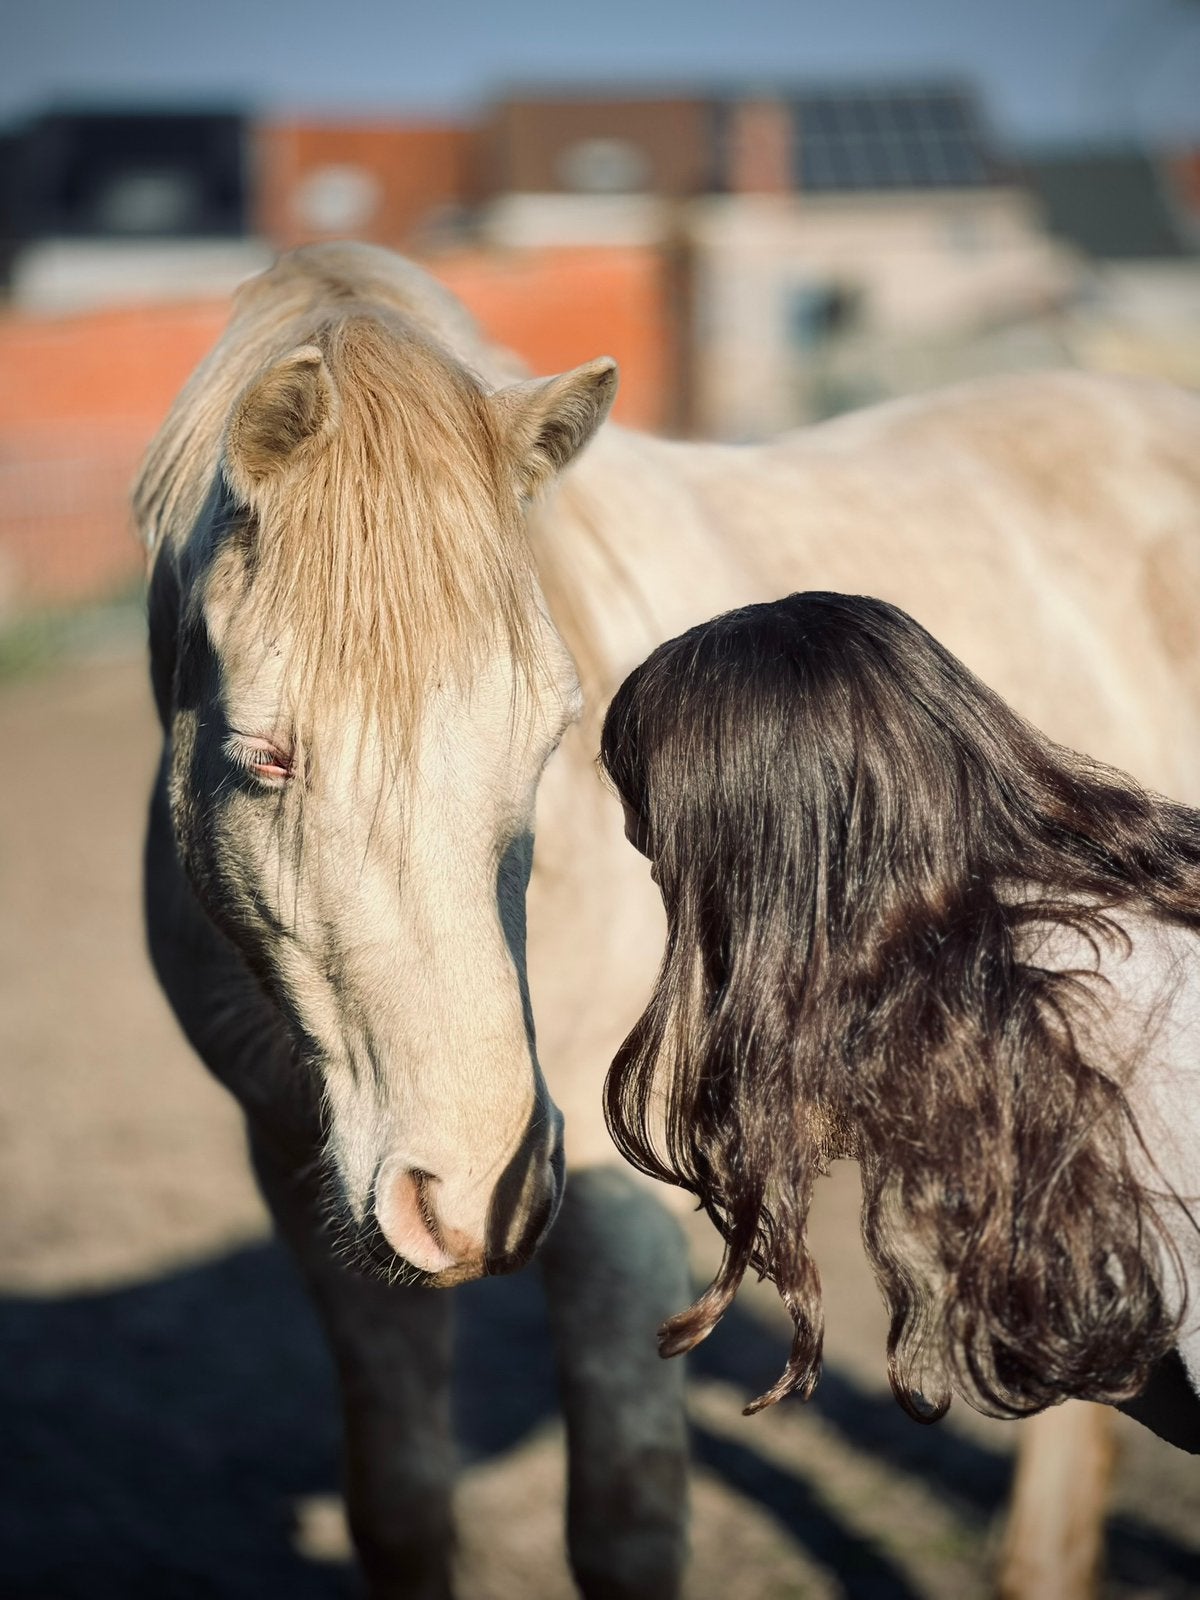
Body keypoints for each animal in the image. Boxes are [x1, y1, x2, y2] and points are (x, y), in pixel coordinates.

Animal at [136, 240, 1200, 1600]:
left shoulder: (611, 1191)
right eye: (265, 755)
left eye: (549, 737)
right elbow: (402, 1504)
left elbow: (627, 1519)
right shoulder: (301, 1181)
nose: (471, 1198)